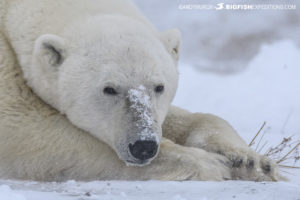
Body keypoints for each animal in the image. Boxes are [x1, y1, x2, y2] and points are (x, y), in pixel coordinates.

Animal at [0, 0, 278, 181]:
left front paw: (249, 161)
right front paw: (210, 163)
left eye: (159, 87)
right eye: (109, 89)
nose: (143, 146)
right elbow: (24, 128)